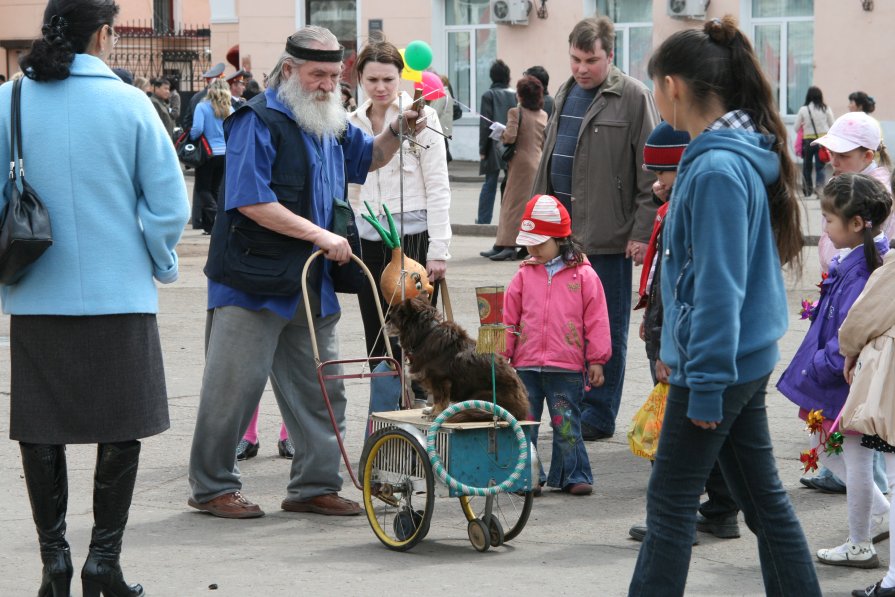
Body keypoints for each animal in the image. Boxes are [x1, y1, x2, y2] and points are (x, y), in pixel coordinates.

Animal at [386, 296, 528, 422]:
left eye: (392, 318)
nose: (384, 326)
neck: (425, 334)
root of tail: (522, 409)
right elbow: (437, 399)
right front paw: (432, 411)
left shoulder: (440, 380)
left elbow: (440, 399)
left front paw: (436, 414)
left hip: (481, 395)